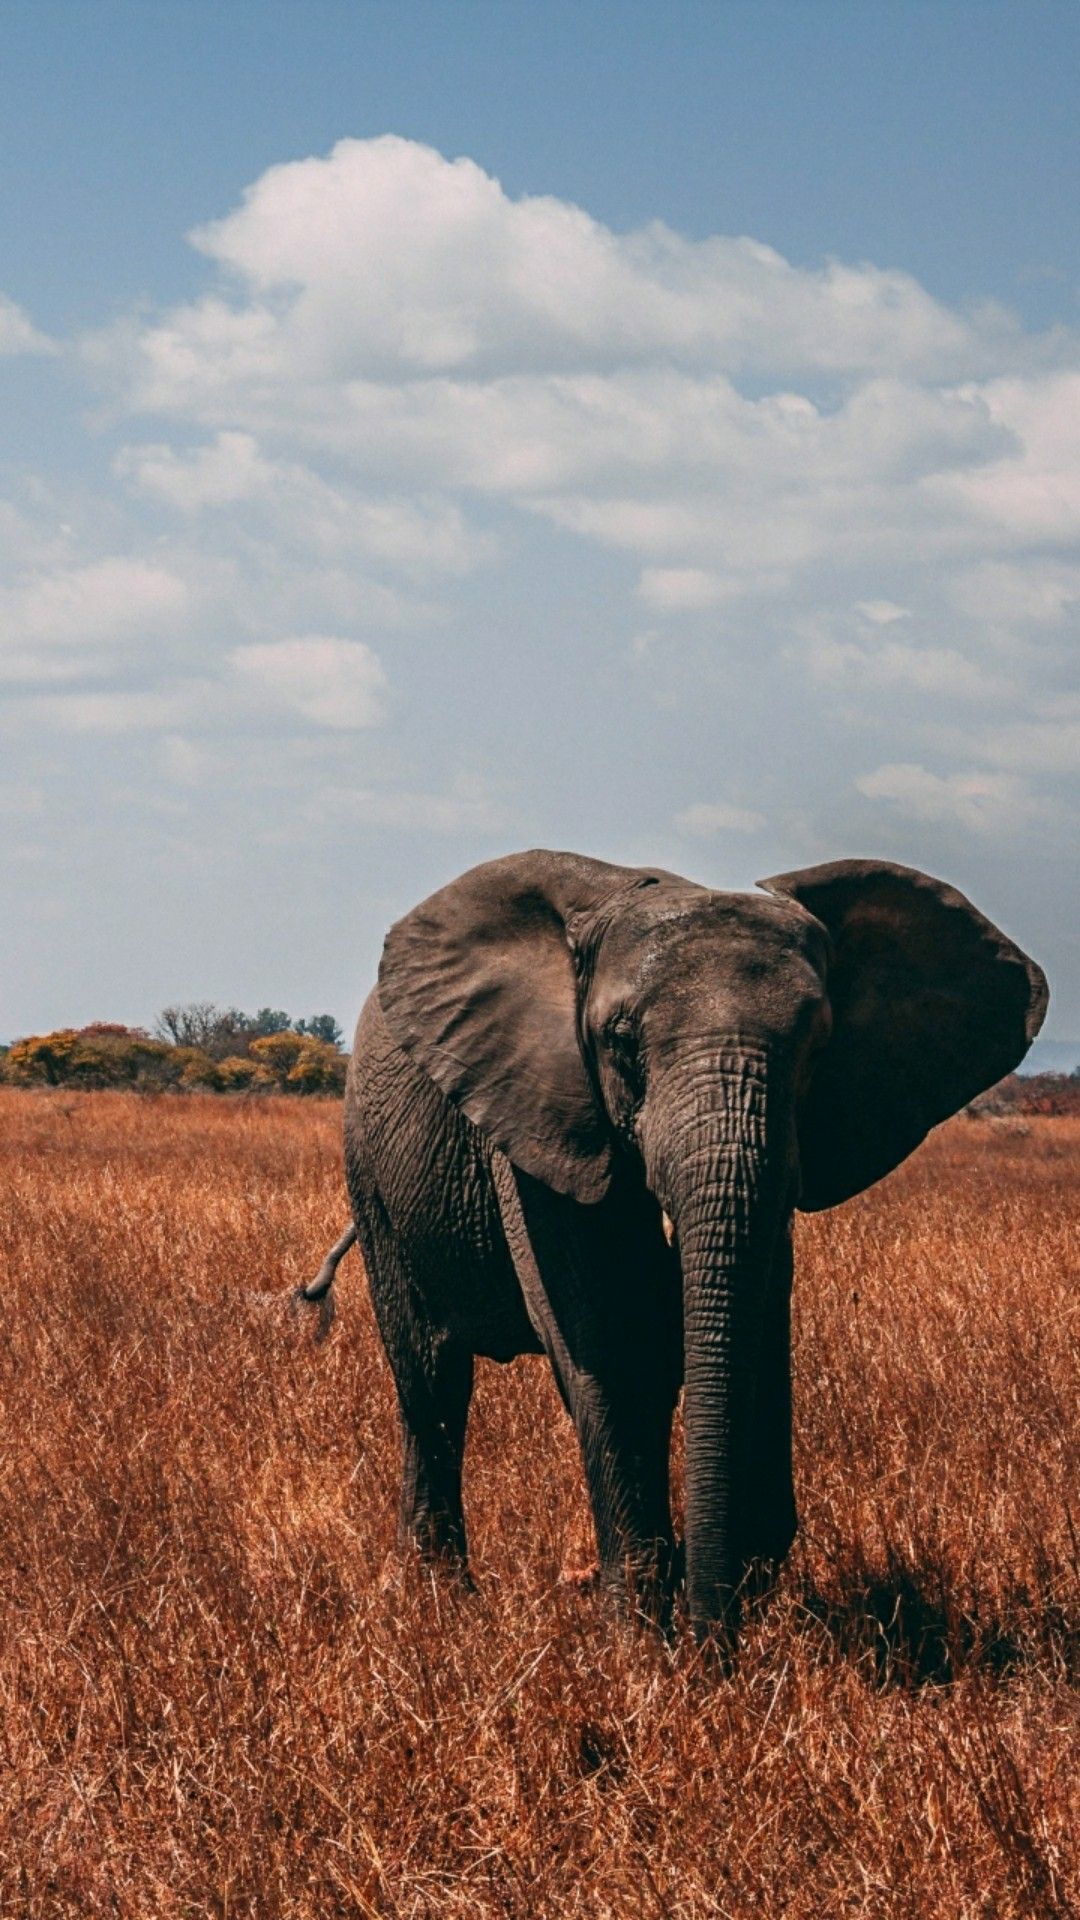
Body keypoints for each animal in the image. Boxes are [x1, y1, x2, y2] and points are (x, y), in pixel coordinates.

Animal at [317, 849, 1046, 1644]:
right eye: (620, 1041)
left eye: (818, 1043)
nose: (712, 1640)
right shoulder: (540, 1106)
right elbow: (609, 1338)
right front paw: (640, 1639)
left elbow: (753, 1325)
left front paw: (734, 1593)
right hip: (371, 1167)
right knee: (430, 1373)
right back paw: (438, 1600)